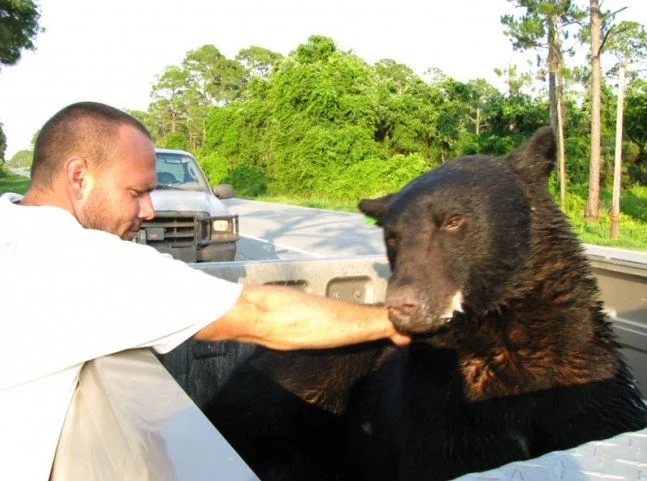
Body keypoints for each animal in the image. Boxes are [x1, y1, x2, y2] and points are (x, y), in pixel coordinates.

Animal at [206, 127, 647, 480]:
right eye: (392, 235)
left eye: (453, 221)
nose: (402, 304)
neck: (505, 338)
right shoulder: (439, 405)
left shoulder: (588, 384)